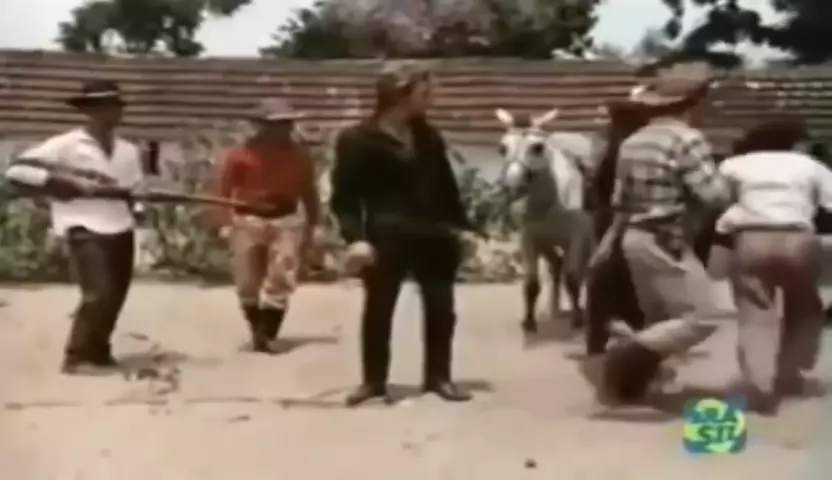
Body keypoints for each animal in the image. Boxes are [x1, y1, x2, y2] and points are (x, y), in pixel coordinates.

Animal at [495, 107, 597, 333]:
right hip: (547, 243)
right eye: (502, 147)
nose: (513, 187)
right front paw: (529, 321)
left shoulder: (577, 237)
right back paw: (555, 309)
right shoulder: (529, 238)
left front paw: (578, 319)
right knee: (557, 265)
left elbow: (573, 277)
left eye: (537, 147)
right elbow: (532, 283)